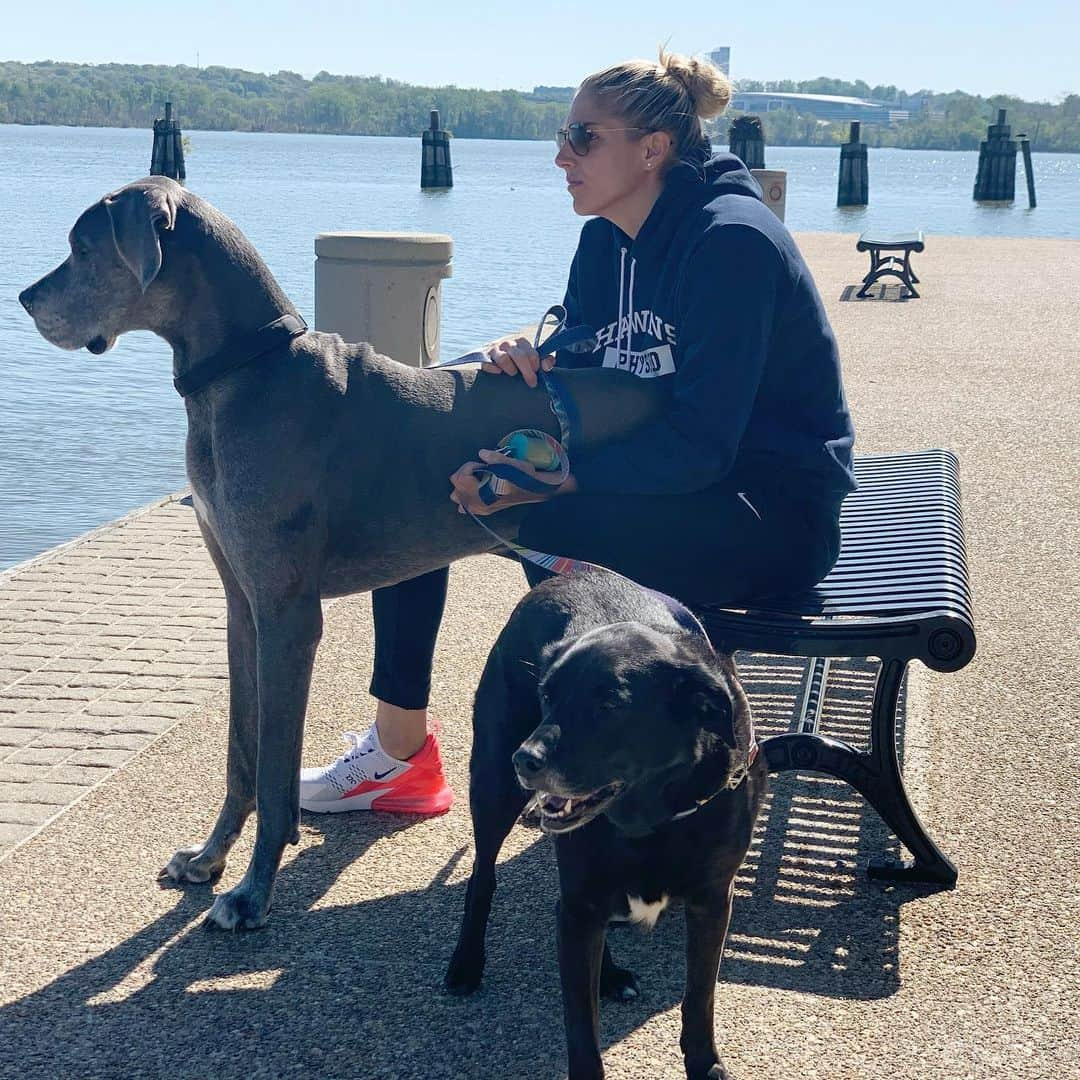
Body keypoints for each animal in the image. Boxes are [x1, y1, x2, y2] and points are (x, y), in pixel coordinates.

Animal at [447, 570, 768, 1075]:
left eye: (611, 705)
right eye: (547, 696)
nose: (525, 759)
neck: (655, 822)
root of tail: (562, 577)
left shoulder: (713, 901)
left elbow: (700, 996)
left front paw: (703, 1064)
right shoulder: (580, 907)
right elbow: (582, 1031)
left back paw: (611, 976)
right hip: (493, 787)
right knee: (483, 876)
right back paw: (466, 962)